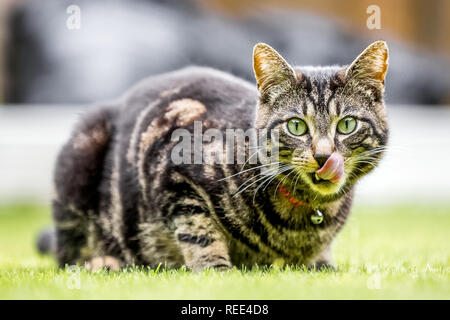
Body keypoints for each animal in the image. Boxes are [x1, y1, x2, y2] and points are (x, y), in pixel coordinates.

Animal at [48, 41, 386, 272]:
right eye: (296, 126)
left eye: (347, 124)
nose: (324, 156)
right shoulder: (172, 171)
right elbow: (200, 232)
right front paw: (216, 271)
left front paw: (324, 264)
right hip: (80, 158)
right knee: (69, 253)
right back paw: (102, 262)